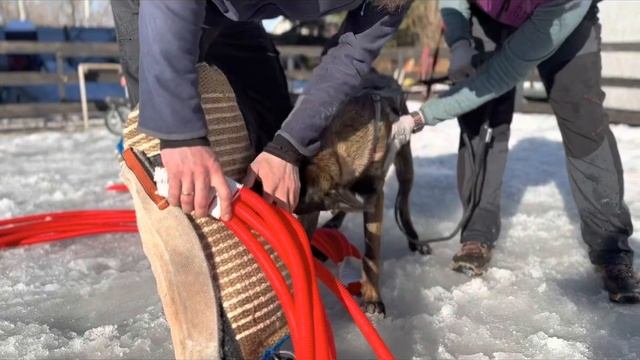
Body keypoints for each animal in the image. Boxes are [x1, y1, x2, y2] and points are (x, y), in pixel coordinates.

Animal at [296, 72, 430, 316]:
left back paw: (415, 240)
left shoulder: (374, 196)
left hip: (406, 167)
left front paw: (372, 298)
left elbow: (371, 253)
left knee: (404, 204)